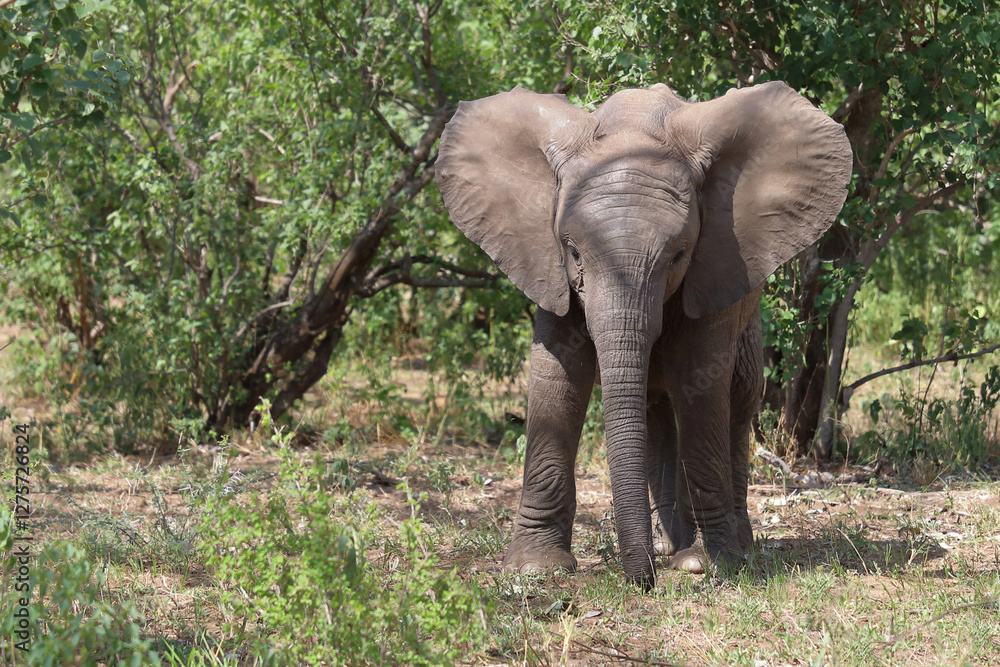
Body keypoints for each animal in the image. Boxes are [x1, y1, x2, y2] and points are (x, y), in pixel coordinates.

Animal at [437, 81, 852, 588]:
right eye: (572, 251)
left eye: (678, 254)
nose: (643, 580)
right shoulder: (546, 266)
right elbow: (557, 376)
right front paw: (537, 567)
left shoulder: (714, 269)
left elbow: (699, 381)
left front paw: (707, 563)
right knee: (658, 413)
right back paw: (668, 544)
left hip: (750, 318)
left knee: (737, 402)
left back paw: (729, 546)